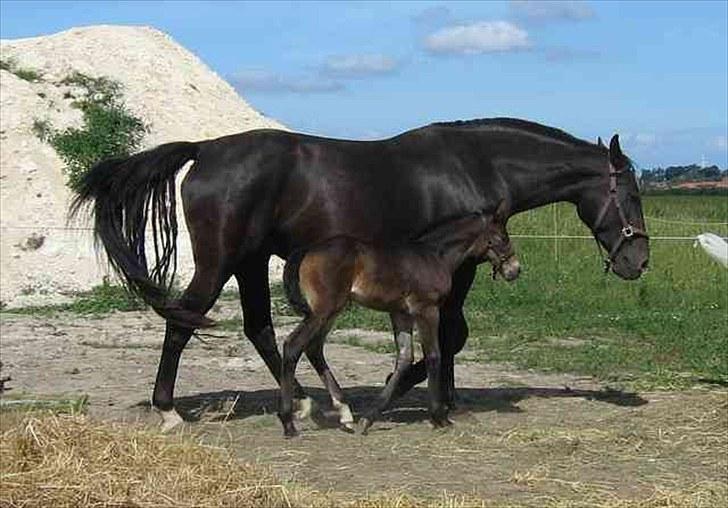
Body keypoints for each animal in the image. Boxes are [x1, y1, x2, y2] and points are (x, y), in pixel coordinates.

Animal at [278, 202, 516, 436]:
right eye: (503, 238)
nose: (515, 270)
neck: (434, 256)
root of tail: (307, 250)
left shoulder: (401, 314)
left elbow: (404, 359)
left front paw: (368, 418)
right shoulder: (427, 310)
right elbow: (433, 355)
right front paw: (439, 417)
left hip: (331, 311)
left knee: (314, 348)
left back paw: (345, 414)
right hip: (323, 311)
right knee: (293, 346)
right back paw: (288, 422)